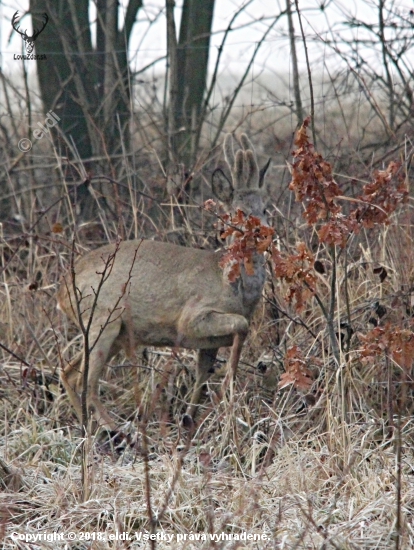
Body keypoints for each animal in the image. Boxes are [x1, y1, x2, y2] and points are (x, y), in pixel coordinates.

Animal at [58, 134, 272, 432]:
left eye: (264, 208)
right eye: (237, 214)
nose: (261, 233)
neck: (232, 285)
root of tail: (62, 290)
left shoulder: (208, 341)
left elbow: (202, 375)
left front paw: (191, 419)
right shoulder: (192, 317)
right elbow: (241, 327)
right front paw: (227, 393)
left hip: (112, 333)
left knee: (68, 372)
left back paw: (88, 426)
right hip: (103, 319)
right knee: (84, 379)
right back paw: (113, 428)